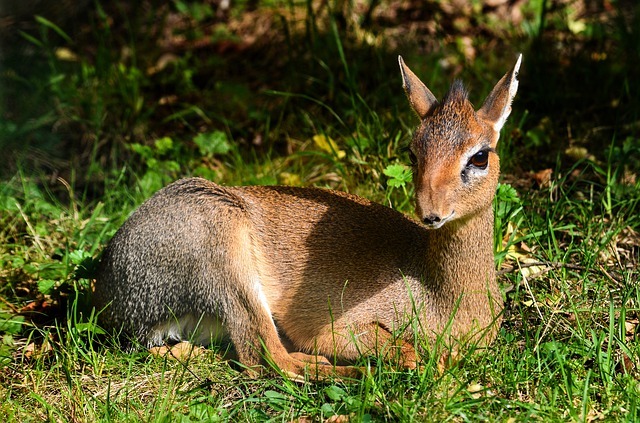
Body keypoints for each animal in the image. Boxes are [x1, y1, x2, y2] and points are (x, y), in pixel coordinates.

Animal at [96, 54, 524, 380]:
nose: (430, 213)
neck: (444, 298)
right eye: (412, 152)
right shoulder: (337, 327)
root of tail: (115, 294)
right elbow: (407, 352)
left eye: (480, 156)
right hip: (227, 262)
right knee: (267, 360)